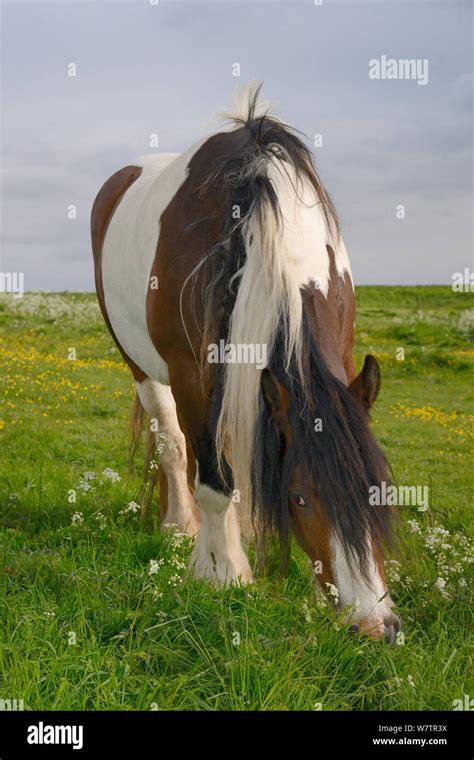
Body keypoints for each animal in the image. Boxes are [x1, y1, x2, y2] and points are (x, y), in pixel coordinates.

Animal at [91, 84, 400, 640]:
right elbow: (214, 480)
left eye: (381, 489)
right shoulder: (193, 375)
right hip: (144, 367)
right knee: (173, 444)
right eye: (299, 498)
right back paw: (180, 526)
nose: (374, 626)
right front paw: (222, 574)